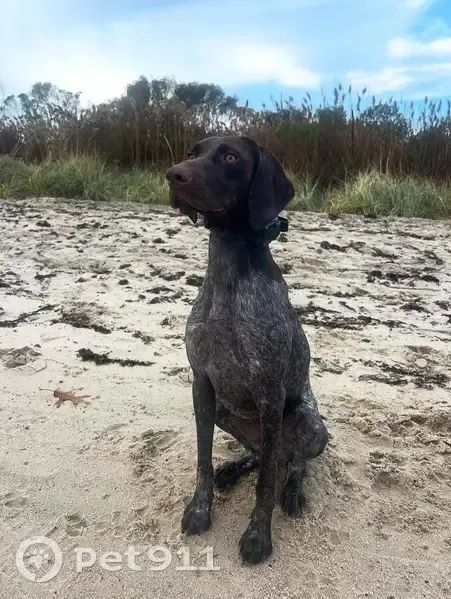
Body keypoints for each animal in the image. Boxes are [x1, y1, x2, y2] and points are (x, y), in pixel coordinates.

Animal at [166, 135, 329, 565]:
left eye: (229, 157)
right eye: (192, 153)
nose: (172, 174)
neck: (228, 276)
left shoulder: (270, 392)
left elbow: (266, 485)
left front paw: (258, 536)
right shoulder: (202, 384)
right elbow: (203, 460)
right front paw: (200, 509)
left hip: (310, 424)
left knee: (291, 464)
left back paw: (293, 492)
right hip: (226, 411)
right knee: (261, 455)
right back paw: (235, 468)